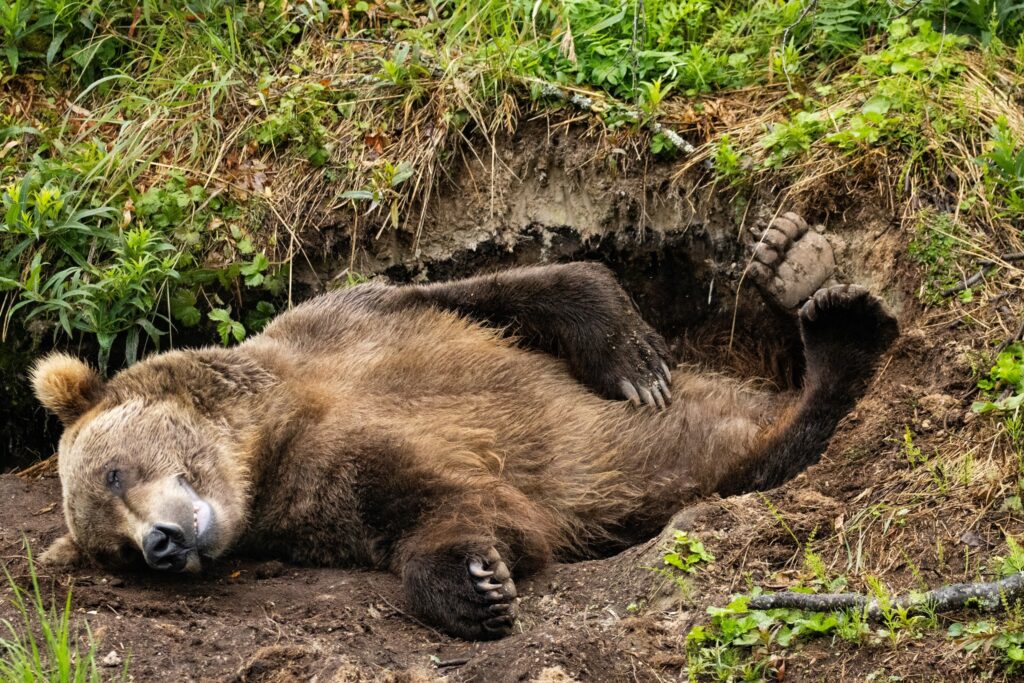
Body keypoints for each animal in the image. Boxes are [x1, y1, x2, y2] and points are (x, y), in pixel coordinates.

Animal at [32, 213, 898, 640]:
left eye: (112, 470)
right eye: (113, 550)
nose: (159, 545)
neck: (265, 433)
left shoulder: (353, 326)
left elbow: (512, 293)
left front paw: (633, 356)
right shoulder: (318, 488)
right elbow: (454, 504)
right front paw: (476, 583)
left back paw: (803, 271)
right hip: (688, 473)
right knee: (766, 454)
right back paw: (838, 335)